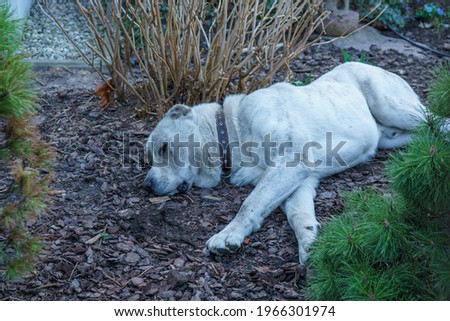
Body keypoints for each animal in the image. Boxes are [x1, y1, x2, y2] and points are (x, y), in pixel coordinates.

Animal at [145, 62, 426, 262]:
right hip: (391, 137)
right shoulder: (299, 180)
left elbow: (249, 203)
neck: (231, 131)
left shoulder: (290, 161)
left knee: (432, 119)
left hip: (392, 107)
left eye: (164, 147)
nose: (147, 184)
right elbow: (298, 214)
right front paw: (310, 244)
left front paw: (227, 235)